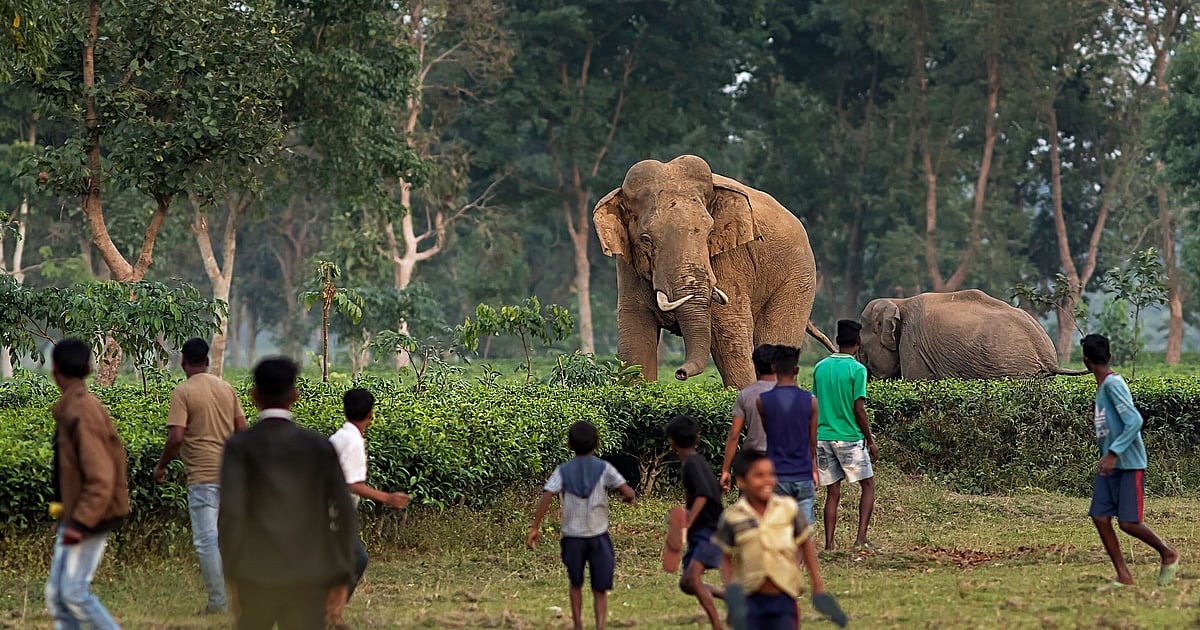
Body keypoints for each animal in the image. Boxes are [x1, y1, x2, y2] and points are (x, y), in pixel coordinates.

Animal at [593, 154, 836, 390]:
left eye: (710, 232)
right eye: (645, 239)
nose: (679, 373)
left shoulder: (729, 261)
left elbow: (729, 335)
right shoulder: (628, 267)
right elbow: (635, 341)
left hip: (797, 278)